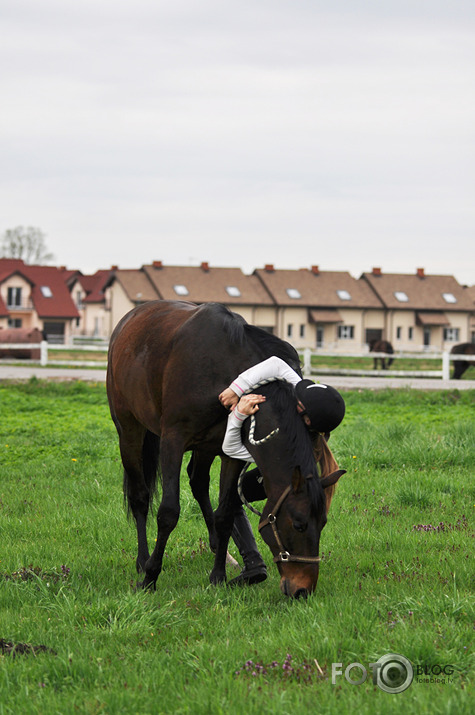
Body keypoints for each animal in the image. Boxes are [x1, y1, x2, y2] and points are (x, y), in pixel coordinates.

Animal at [107, 300, 346, 600]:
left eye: (322, 522)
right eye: (299, 523)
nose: (303, 590)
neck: (221, 368)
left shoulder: (230, 451)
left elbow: (225, 513)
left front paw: (218, 576)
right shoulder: (172, 441)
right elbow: (168, 512)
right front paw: (151, 576)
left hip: (205, 448)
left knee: (198, 482)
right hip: (129, 430)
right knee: (140, 496)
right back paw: (142, 561)